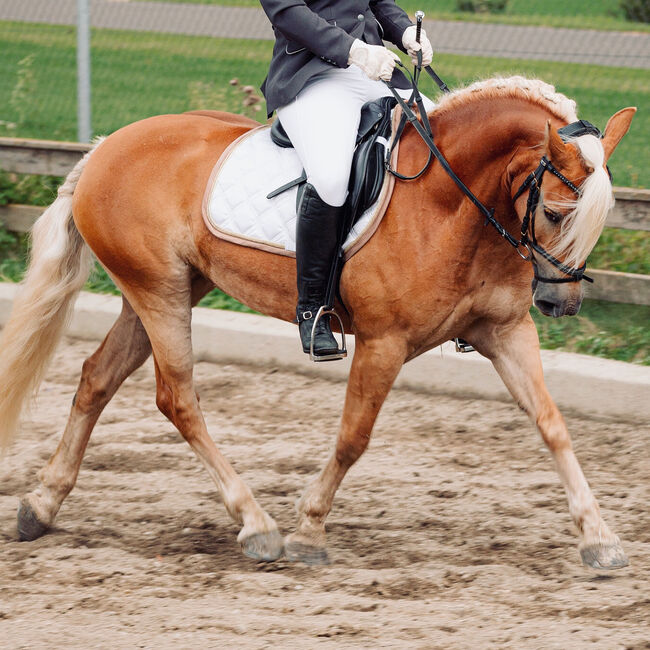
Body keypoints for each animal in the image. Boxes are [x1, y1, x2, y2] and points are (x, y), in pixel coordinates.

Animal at [0, 76, 635, 570]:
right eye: (553, 211)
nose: (559, 304)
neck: (451, 202)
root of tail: (105, 147)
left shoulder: (504, 333)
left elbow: (553, 426)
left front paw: (599, 537)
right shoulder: (384, 342)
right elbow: (354, 438)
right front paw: (308, 529)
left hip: (162, 289)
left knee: (96, 378)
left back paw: (40, 506)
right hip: (159, 292)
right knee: (177, 398)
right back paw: (257, 525)